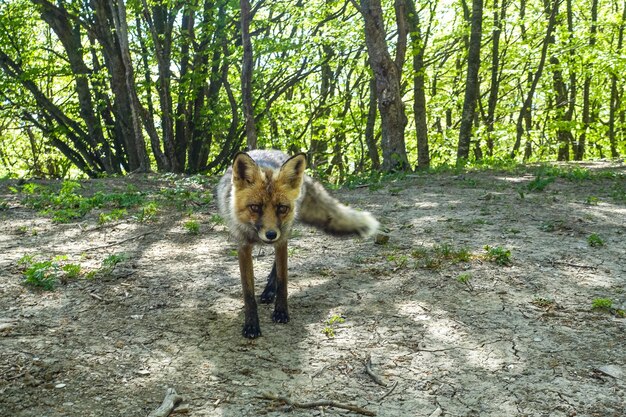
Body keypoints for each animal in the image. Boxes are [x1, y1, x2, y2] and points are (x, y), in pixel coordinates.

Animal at [217, 150, 378, 338]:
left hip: (286, 232)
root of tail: (274, 151)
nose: (271, 234)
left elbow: (283, 281)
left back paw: (269, 291)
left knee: (276, 267)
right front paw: (251, 324)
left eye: (281, 208)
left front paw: (281, 311)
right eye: (255, 207)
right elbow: (248, 292)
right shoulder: (243, 246)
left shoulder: (282, 241)